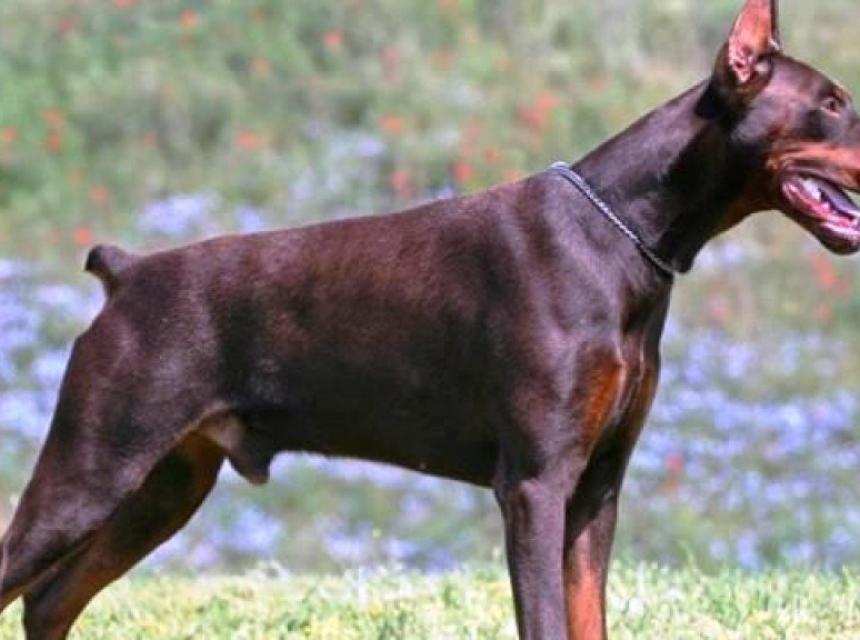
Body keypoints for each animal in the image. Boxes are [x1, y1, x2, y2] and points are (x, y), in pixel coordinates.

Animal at [2, 1, 860, 638]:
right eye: (832, 106)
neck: (621, 235)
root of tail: (127, 272)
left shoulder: (597, 488)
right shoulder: (535, 483)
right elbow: (546, 619)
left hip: (165, 484)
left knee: (48, 602)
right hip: (94, 464)